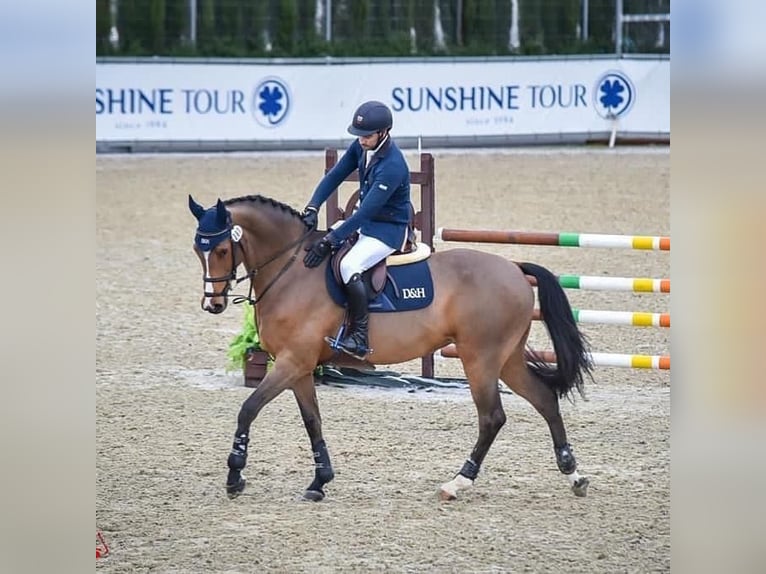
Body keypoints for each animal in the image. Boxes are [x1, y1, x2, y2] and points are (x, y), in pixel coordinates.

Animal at [190, 195, 592, 504]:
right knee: (544, 399)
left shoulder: (291, 362)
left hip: (480, 359)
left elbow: (248, 409)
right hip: (506, 360)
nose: (212, 304)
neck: (292, 270)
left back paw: (457, 482)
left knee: (492, 417)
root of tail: (514, 268)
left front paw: (235, 476)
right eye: (198, 249)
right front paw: (320, 482)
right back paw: (573, 474)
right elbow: (312, 421)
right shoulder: (300, 367)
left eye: (222, 249)